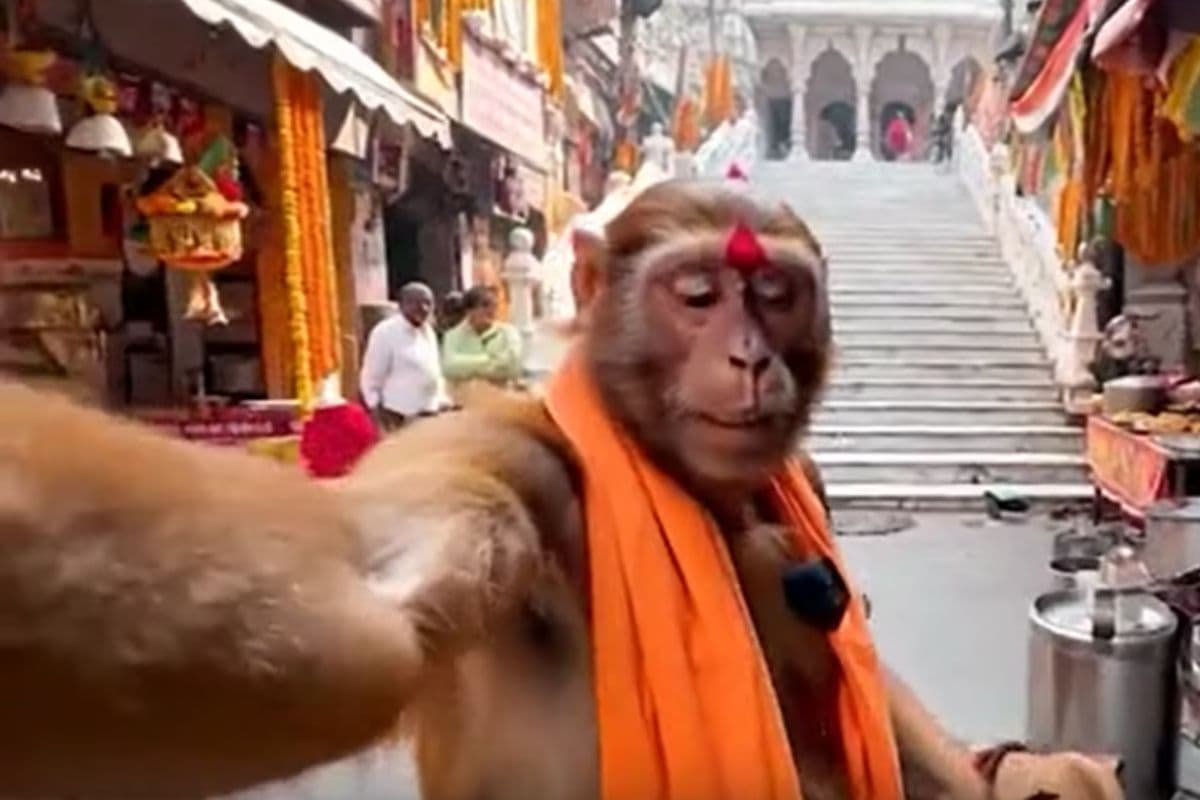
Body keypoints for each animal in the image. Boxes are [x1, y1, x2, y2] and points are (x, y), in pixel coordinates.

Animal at [0, 179, 1118, 800]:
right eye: (697, 295)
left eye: (775, 293)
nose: (751, 356)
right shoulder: (509, 458)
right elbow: (360, 579)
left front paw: (1035, 775)